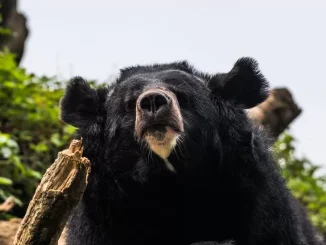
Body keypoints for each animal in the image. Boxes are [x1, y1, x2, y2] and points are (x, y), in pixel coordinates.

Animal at [59, 58, 322, 245]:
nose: (153, 101)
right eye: (129, 104)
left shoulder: (258, 197)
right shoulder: (104, 212)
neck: (171, 181)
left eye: (182, 96)